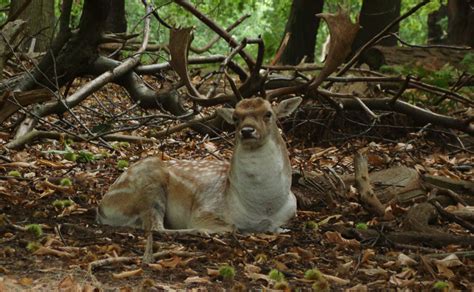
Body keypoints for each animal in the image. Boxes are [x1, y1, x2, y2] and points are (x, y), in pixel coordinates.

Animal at [98, 96, 302, 262]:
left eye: (268, 113)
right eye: (236, 117)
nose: (247, 131)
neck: (262, 208)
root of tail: (103, 207)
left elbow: (276, 228)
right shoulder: (205, 210)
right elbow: (232, 226)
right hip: (149, 186)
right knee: (155, 227)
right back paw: (199, 232)